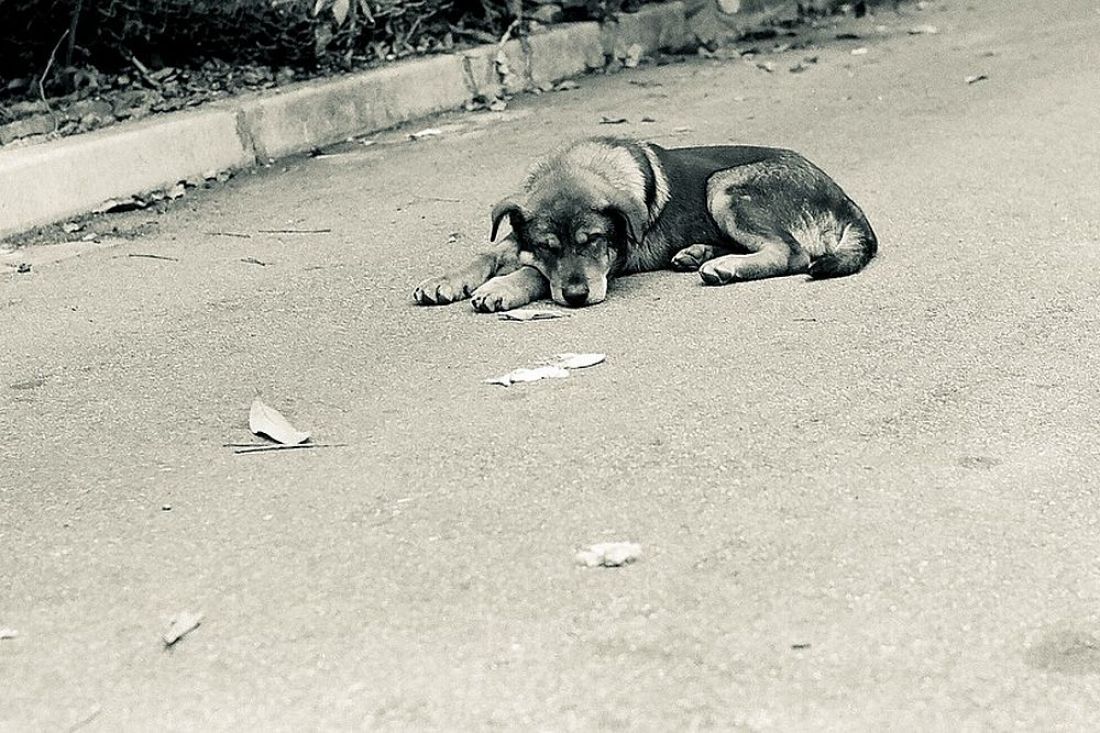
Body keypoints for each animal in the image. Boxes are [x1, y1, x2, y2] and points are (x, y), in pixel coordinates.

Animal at [413, 137, 876, 311]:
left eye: (593, 241)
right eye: (547, 246)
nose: (577, 298)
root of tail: (845, 198)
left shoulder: (612, 261)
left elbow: (534, 274)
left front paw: (502, 288)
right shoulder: (518, 237)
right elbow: (488, 252)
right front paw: (446, 280)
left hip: (723, 186)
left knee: (791, 252)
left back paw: (724, 266)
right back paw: (697, 254)